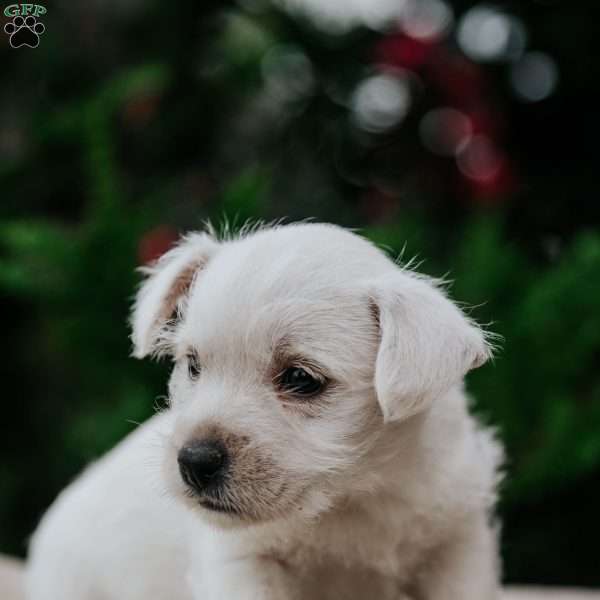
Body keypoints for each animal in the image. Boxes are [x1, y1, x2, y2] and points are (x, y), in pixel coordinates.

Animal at [29, 223, 506, 596]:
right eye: (193, 364)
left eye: (300, 378)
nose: (194, 462)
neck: (349, 499)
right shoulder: (242, 560)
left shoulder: (457, 545)